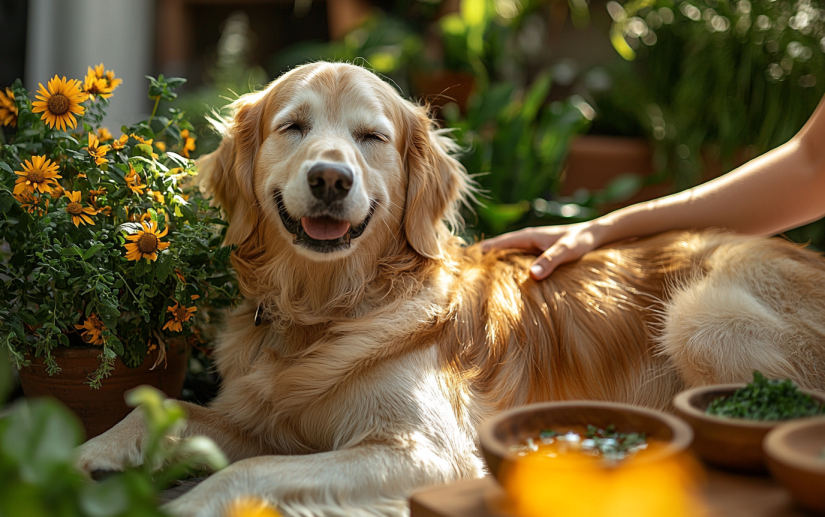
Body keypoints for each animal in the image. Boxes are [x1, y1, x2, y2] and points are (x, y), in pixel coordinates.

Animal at [77, 62, 824, 512]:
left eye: (371, 137)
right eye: (292, 126)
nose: (329, 178)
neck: (325, 309)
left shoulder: (427, 453)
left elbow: (245, 474)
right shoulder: (259, 420)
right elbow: (156, 413)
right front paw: (84, 458)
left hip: (702, 315)